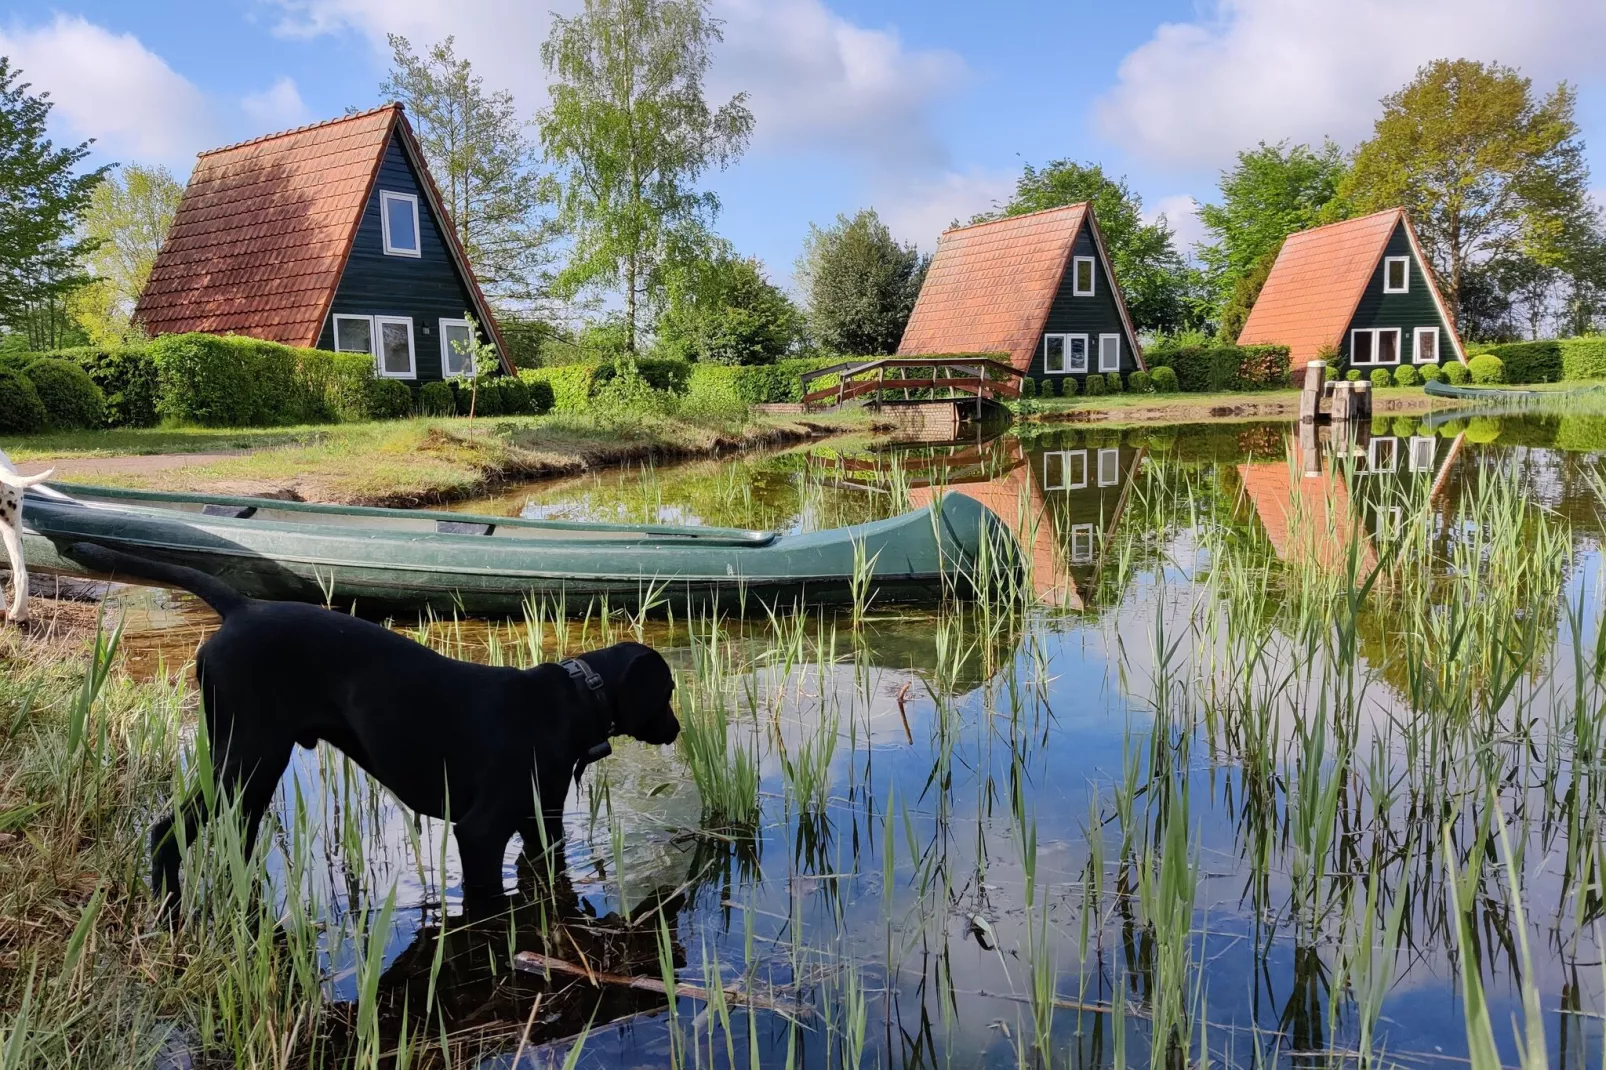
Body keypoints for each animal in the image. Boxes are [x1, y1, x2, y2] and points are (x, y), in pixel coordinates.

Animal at [69, 543, 677, 906]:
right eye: (669, 692)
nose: (675, 730)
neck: (572, 699)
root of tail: (242, 607)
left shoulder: (541, 824)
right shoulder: (480, 831)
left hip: (254, 774)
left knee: (233, 840)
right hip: (245, 758)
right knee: (165, 832)